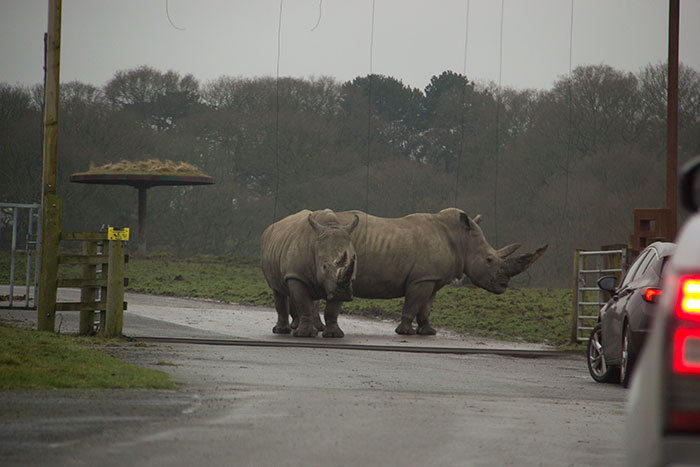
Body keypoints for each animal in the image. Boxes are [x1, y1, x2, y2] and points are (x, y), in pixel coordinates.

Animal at [260, 209, 359, 337]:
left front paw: (333, 335)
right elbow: (304, 303)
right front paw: (305, 334)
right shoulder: (296, 275)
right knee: (277, 290)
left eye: (353, 263)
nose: (342, 293)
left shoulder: (343, 283)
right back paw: (282, 331)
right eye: (324, 267)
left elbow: (332, 310)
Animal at [330, 208, 547, 335]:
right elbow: (413, 304)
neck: (462, 241)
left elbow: (426, 306)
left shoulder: (432, 279)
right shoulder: (421, 279)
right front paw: (405, 332)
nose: (504, 285)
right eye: (489, 260)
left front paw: (428, 331)